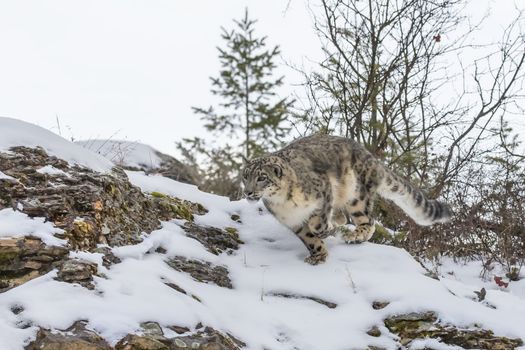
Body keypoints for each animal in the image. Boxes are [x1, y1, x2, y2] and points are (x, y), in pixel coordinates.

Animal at [242, 135, 450, 266]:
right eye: (245, 176)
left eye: (262, 177)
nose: (248, 192)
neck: (284, 203)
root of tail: (370, 156)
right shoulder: (293, 221)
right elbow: (309, 238)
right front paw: (318, 255)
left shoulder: (323, 189)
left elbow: (317, 225)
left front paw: (328, 231)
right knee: (344, 216)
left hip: (356, 194)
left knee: (369, 221)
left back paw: (354, 234)